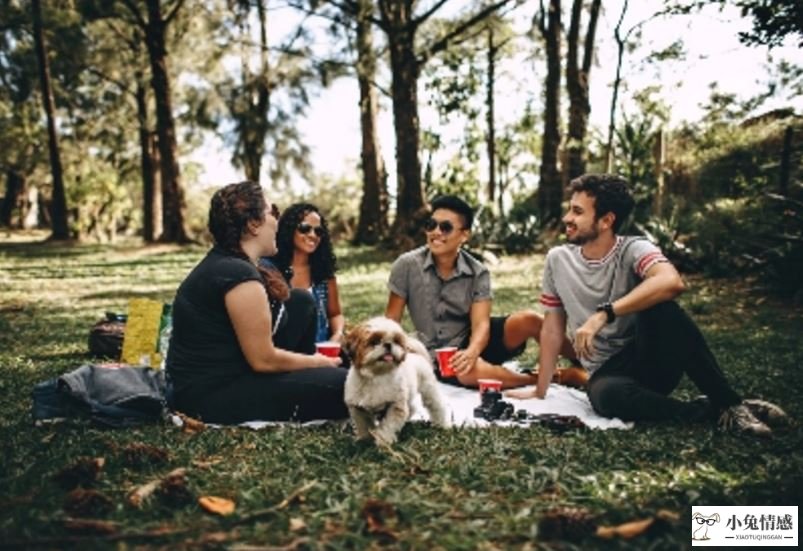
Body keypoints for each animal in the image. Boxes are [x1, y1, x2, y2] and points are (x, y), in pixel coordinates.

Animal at [346, 316, 452, 446]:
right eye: (374, 341)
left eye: (396, 341)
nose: (388, 344)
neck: (377, 376)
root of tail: (416, 354)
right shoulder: (358, 408)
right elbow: (363, 425)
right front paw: (364, 439)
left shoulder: (395, 405)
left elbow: (388, 425)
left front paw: (383, 441)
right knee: (412, 408)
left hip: (429, 389)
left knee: (436, 406)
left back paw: (442, 425)